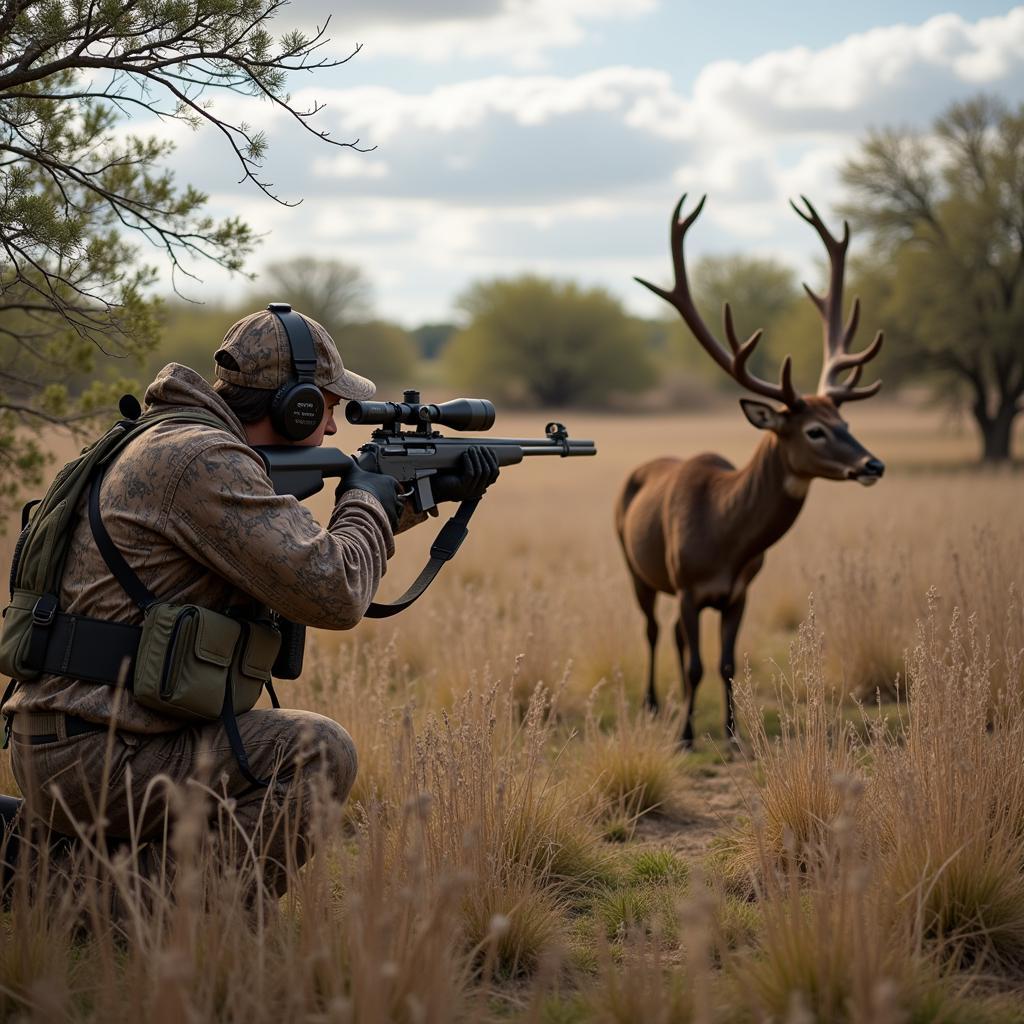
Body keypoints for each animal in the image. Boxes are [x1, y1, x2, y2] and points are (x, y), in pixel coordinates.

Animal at [614, 195, 888, 749]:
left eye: (846, 421)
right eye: (814, 431)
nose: (873, 463)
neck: (725, 538)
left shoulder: (739, 591)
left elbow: (725, 664)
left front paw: (733, 735)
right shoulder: (690, 585)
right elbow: (696, 665)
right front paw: (686, 736)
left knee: (672, 636)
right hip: (636, 565)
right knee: (652, 631)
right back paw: (653, 704)